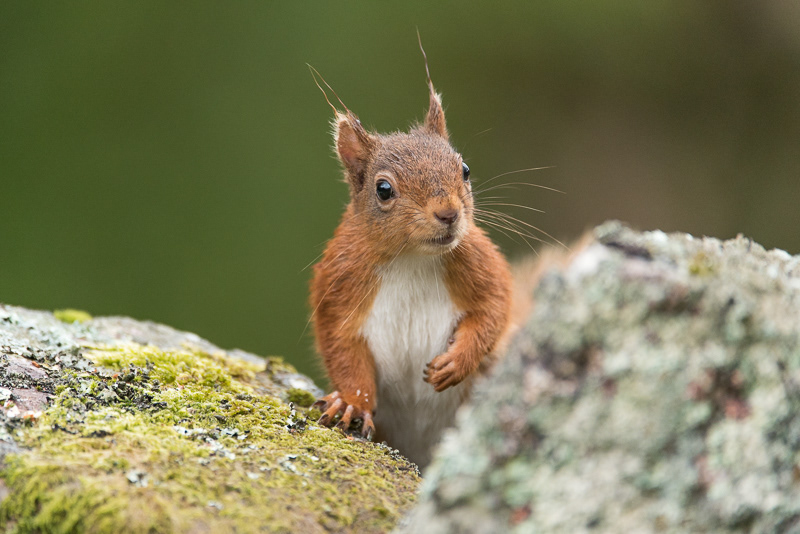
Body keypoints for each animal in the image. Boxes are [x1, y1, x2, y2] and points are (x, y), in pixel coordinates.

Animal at [309, 59, 513, 468]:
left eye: (464, 169)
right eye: (383, 189)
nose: (449, 213)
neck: (412, 259)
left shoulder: (480, 263)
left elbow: (493, 309)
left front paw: (456, 362)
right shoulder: (339, 282)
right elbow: (341, 345)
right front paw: (352, 403)